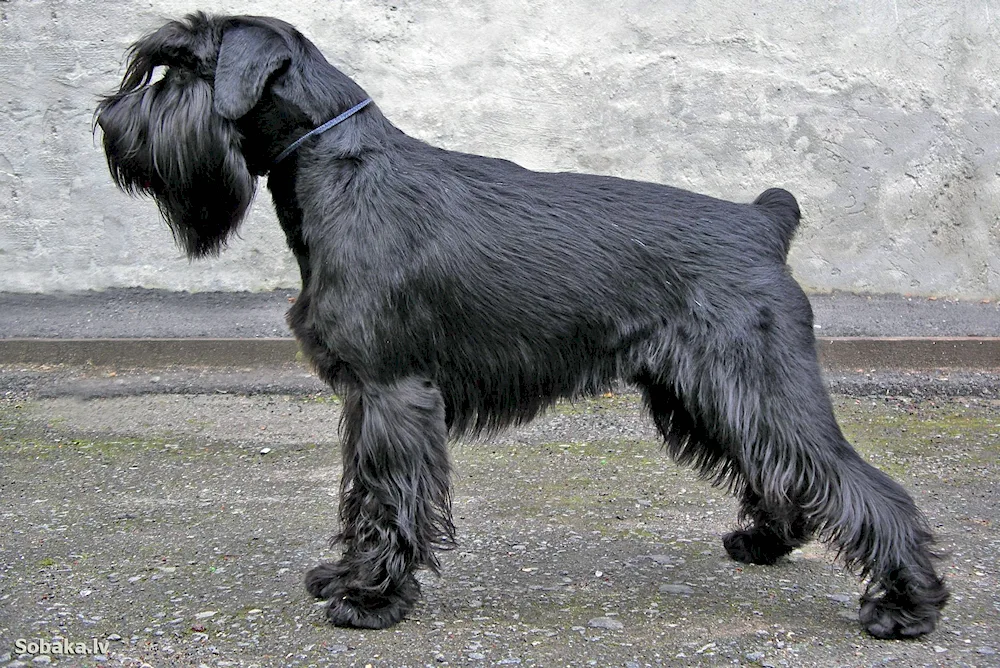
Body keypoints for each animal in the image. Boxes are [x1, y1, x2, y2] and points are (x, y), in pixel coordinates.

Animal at [97, 10, 948, 636]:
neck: (339, 170)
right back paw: (767, 542)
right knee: (784, 470)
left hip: (757, 385)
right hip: (707, 394)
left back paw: (905, 606)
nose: (109, 120)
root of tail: (762, 221)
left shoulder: (391, 392)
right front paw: (346, 575)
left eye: (181, 70)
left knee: (860, 485)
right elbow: (360, 495)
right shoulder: (364, 399)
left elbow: (387, 497)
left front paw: (371, 599)